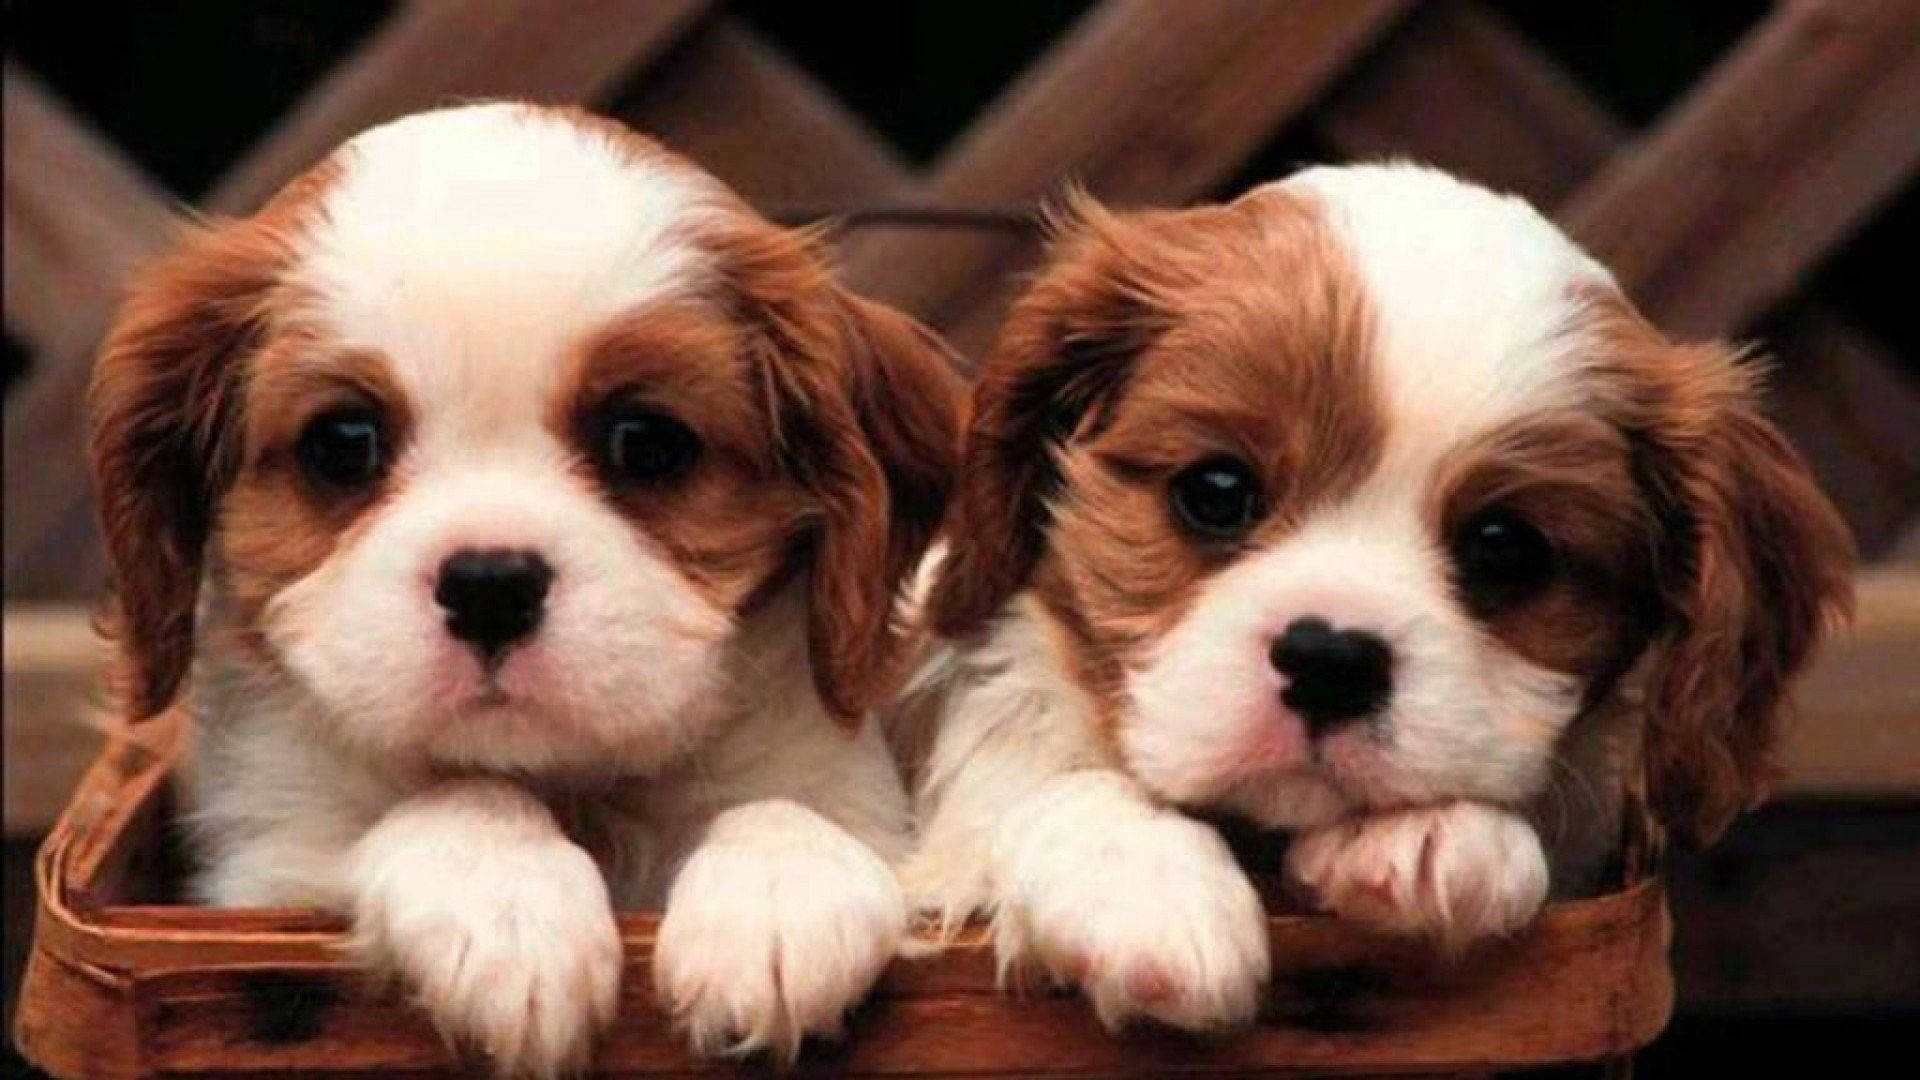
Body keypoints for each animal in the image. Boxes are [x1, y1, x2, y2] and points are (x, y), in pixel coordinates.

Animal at [90, 102, 960, 1076]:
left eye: (646, 442)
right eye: (343, 443)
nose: (490, 586)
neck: (574, 789)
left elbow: (790, 808)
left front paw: (780, 897)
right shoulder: (268, 873)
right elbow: (463, 798)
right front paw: (505, 908)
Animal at [898, 164, 1858, 1030]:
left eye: (1505, 548)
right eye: (1216, 490)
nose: (1330, 659)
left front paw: (1439, 836)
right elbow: (1039, 772)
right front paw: (1144, 884)